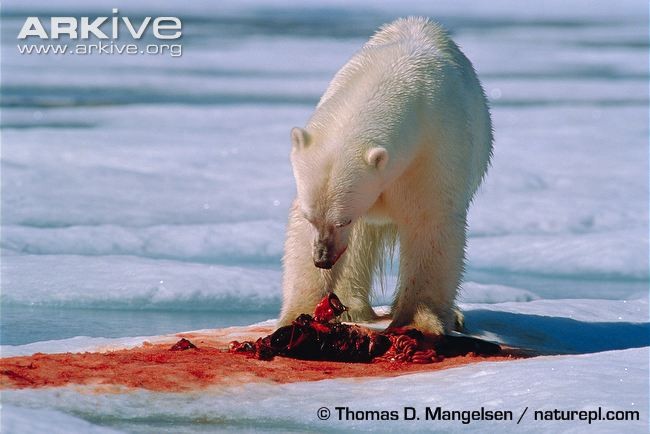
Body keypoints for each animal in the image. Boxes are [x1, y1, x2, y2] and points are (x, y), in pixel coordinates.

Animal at [276, 17, 488, 336]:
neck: (394, 75)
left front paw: (417, 321)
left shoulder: (433, 147)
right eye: (310, 216)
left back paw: (455, 315)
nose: (322, 259)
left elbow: (429, 221)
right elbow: (302, 237)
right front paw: (297, 316)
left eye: (343, 220)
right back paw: (352, 307)